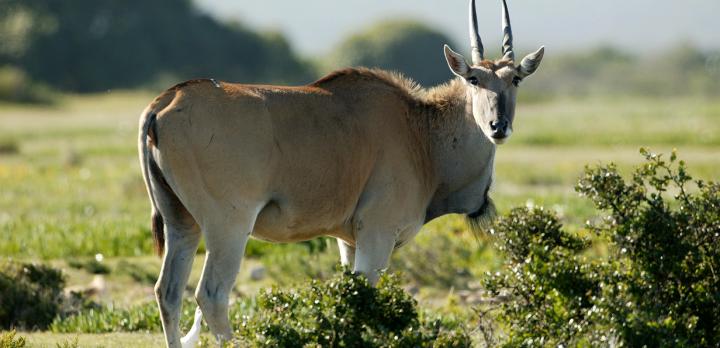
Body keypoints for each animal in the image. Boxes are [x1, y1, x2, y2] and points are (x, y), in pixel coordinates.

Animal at [138, 0, 544, 346]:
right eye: (474, 80)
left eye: (516, 79)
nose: (498, 126)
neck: (420, 132)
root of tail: (165, 102)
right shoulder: (377, 234)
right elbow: (366, 298)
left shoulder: (349, 241)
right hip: (229, 227)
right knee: (211, 295)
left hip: (182, 224)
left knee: (167, 292)